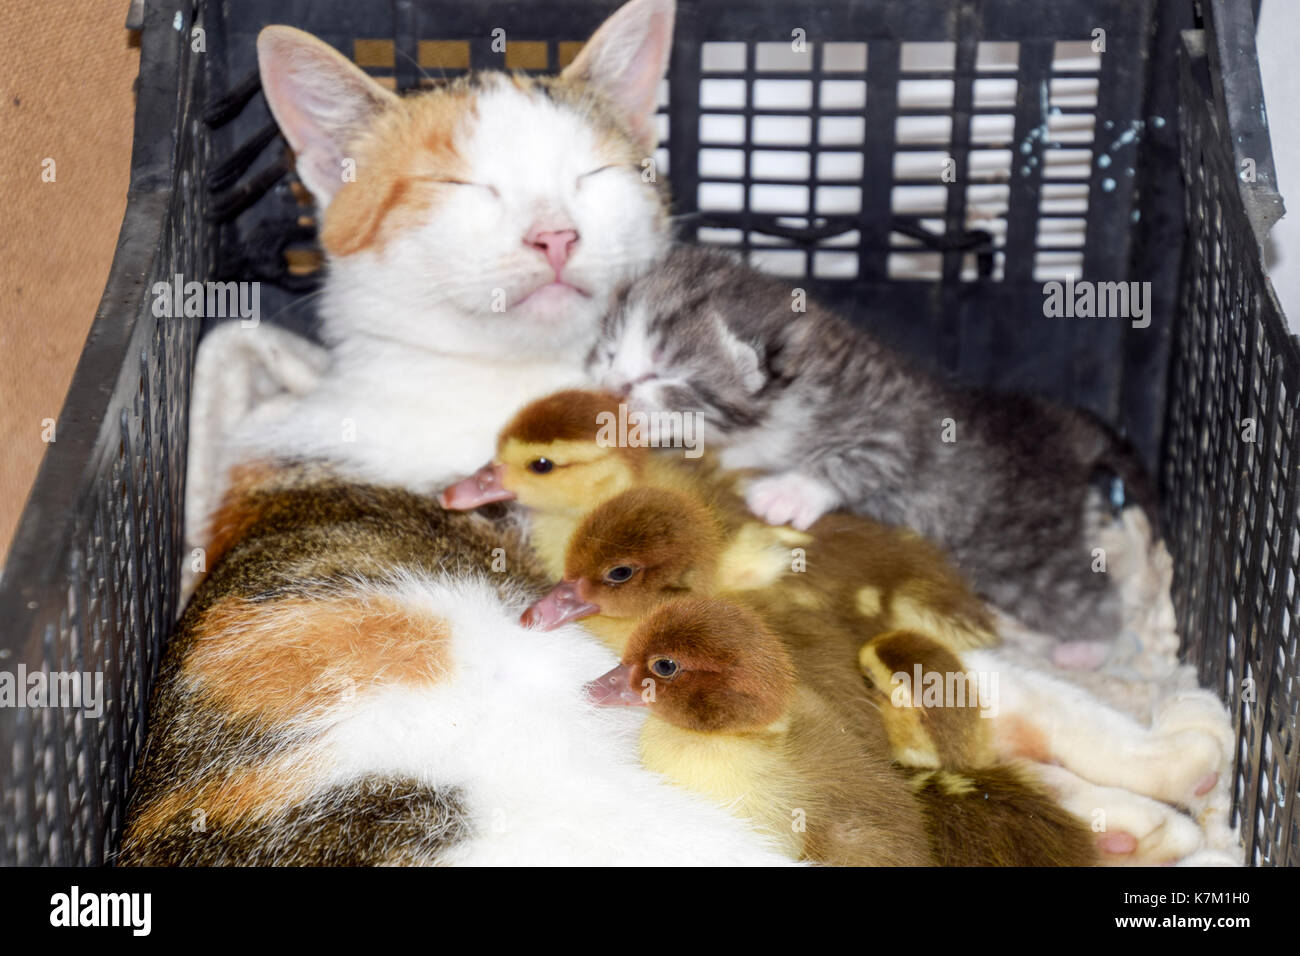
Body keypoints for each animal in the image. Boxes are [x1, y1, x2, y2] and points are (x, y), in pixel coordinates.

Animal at [590, 243, 1159, 655]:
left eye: (661, 375)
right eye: (610, 352)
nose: (613, 388)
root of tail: (1062, 422)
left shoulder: (898, 429)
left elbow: (855, 460)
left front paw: (788, 492)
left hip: (1022, 555)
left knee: (1089, 601)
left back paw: (1087, 648)